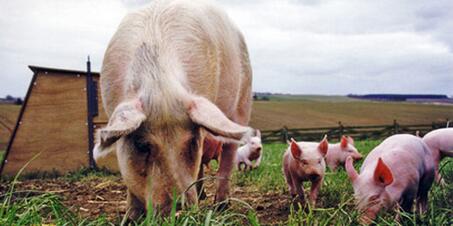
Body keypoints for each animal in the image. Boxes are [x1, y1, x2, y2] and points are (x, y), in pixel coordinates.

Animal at [92, 0, 254, 219]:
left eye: (192, 142)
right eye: (142, 145)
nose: (179, 210)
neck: (159, 84)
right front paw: (130, 218)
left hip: (242, 101)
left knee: (229, 152)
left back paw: (220, 205)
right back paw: (202, 195)